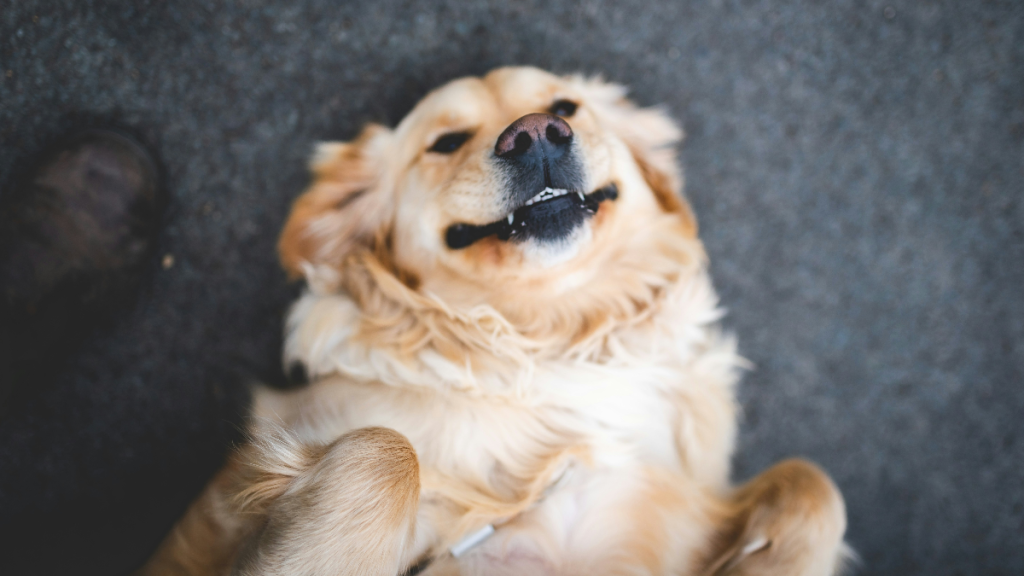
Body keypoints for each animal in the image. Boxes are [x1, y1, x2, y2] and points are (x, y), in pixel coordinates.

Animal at [140, 66, 851, 573]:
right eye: (445, 142)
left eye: (567, 106)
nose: (535, 132)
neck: (552, 343)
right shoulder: (250, 474)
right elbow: (386, 450)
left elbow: (816, 483)